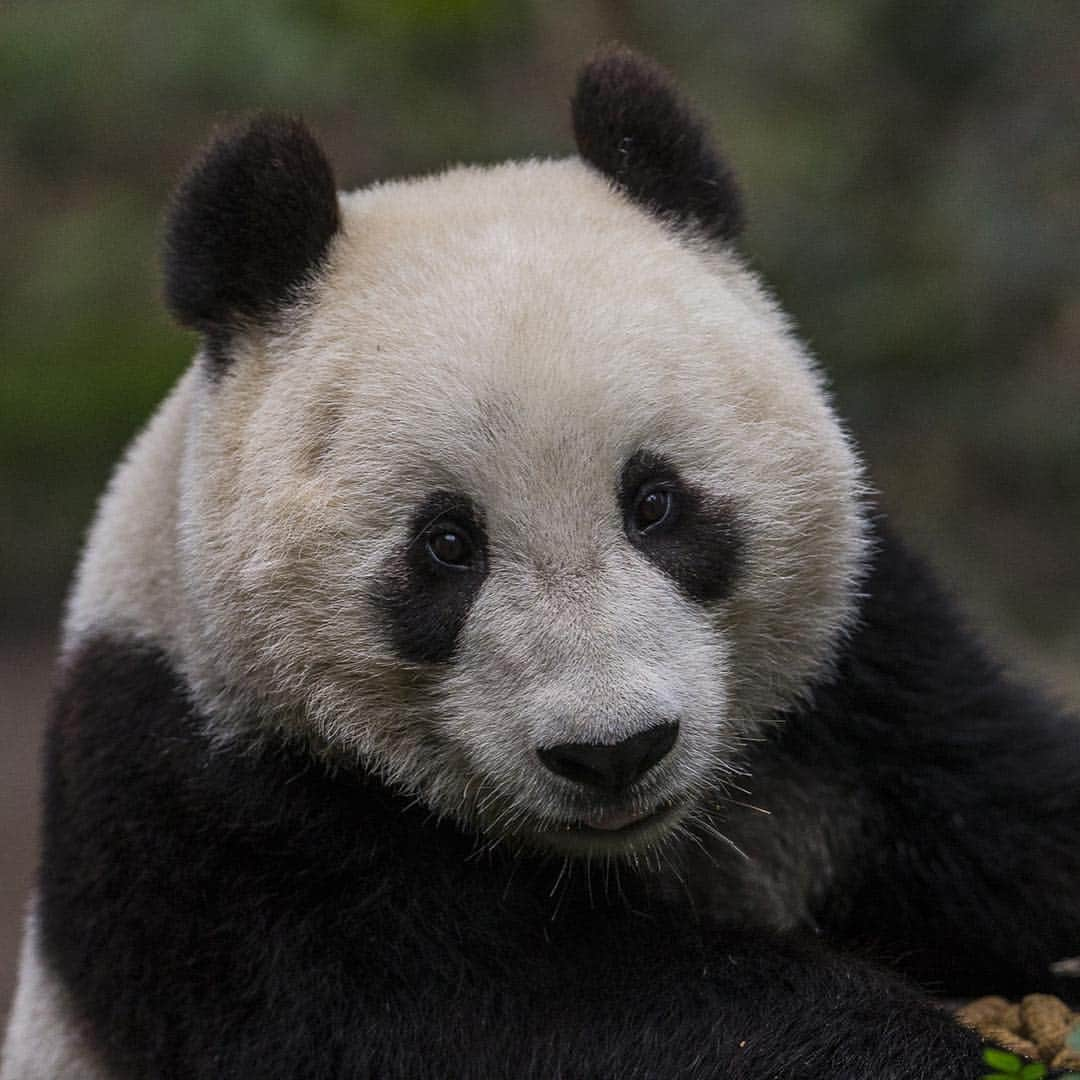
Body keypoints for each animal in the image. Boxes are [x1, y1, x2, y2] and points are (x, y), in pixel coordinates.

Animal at [2, 44, 1080, 1080]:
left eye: (655, 504)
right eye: (447, 545)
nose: (615, 752)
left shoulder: (870, 681)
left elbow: (1013, 813)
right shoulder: (214, 825)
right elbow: (538, 1018)